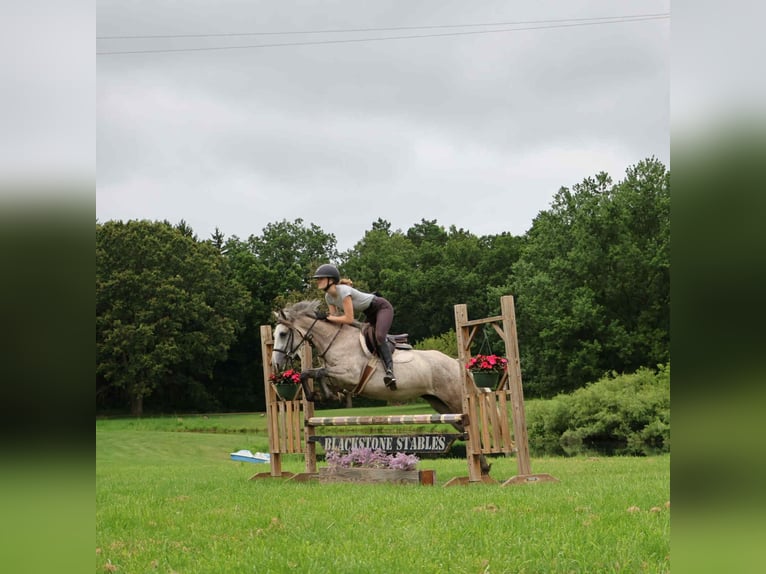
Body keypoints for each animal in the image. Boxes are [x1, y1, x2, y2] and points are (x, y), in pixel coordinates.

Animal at [271, 300, 491, 475]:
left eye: (283, 334)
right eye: (274, 335)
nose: (275, 364)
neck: (337, 341)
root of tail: (456, 362)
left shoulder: (349, 376)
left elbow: (317, 373)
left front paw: (324, 395)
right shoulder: (337, 374)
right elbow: (310, 373)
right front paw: (323, 396)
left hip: (454, 400)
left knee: (471, 426)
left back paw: (482, 467)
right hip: (439, 404)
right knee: (462, 427)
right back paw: (484, 467)